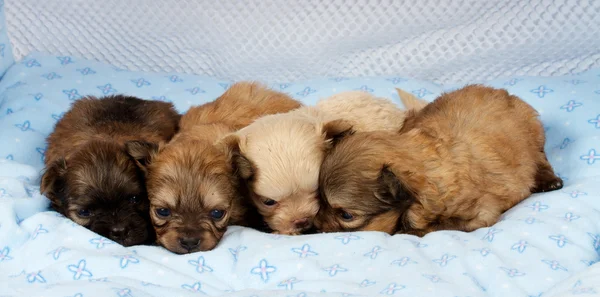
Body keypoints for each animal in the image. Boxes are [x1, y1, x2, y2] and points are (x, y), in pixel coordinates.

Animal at [316, 84, 564, 235]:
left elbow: (428, 227)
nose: (314, 225)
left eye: (346, 215)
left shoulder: (479, 214)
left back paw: (549, 180)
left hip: (534, 132)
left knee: (541, 158)